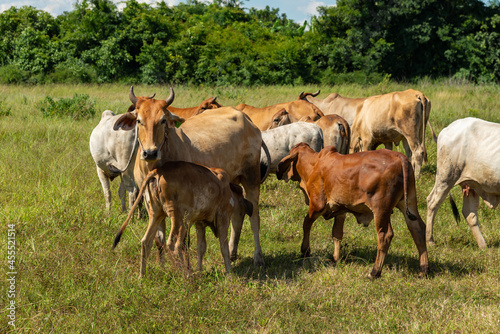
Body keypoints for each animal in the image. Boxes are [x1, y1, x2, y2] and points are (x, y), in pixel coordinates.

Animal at [114, 86, 272, 266]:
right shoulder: (150, 202)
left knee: (254, 217)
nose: (150, 152)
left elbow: (183, 242)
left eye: (163, 120)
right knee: (238, 214)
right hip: (233, 182)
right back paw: (232, 252)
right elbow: (159, 239)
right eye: (139, 121)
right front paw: (161, 266)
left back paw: (258, 257)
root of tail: (245, 117)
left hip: (251, 178)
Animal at [276, 144, 428, 280]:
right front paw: (335, 258)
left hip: (381, 210)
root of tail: (399, 156)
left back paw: (375, 272)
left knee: (385, 235)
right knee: (418, 229)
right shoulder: (340, 210)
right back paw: (423, 270)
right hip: (409, 203)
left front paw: (305, 250)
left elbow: (306, 224)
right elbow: (337, 233)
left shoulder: (317, 205)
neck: (315, 164)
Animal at [426, 117, 500, 248]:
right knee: (432, 202)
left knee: (469, 213)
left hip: (471, 184)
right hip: (446, 178)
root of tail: (446, 129)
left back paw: (483, 246)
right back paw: (430, 241)